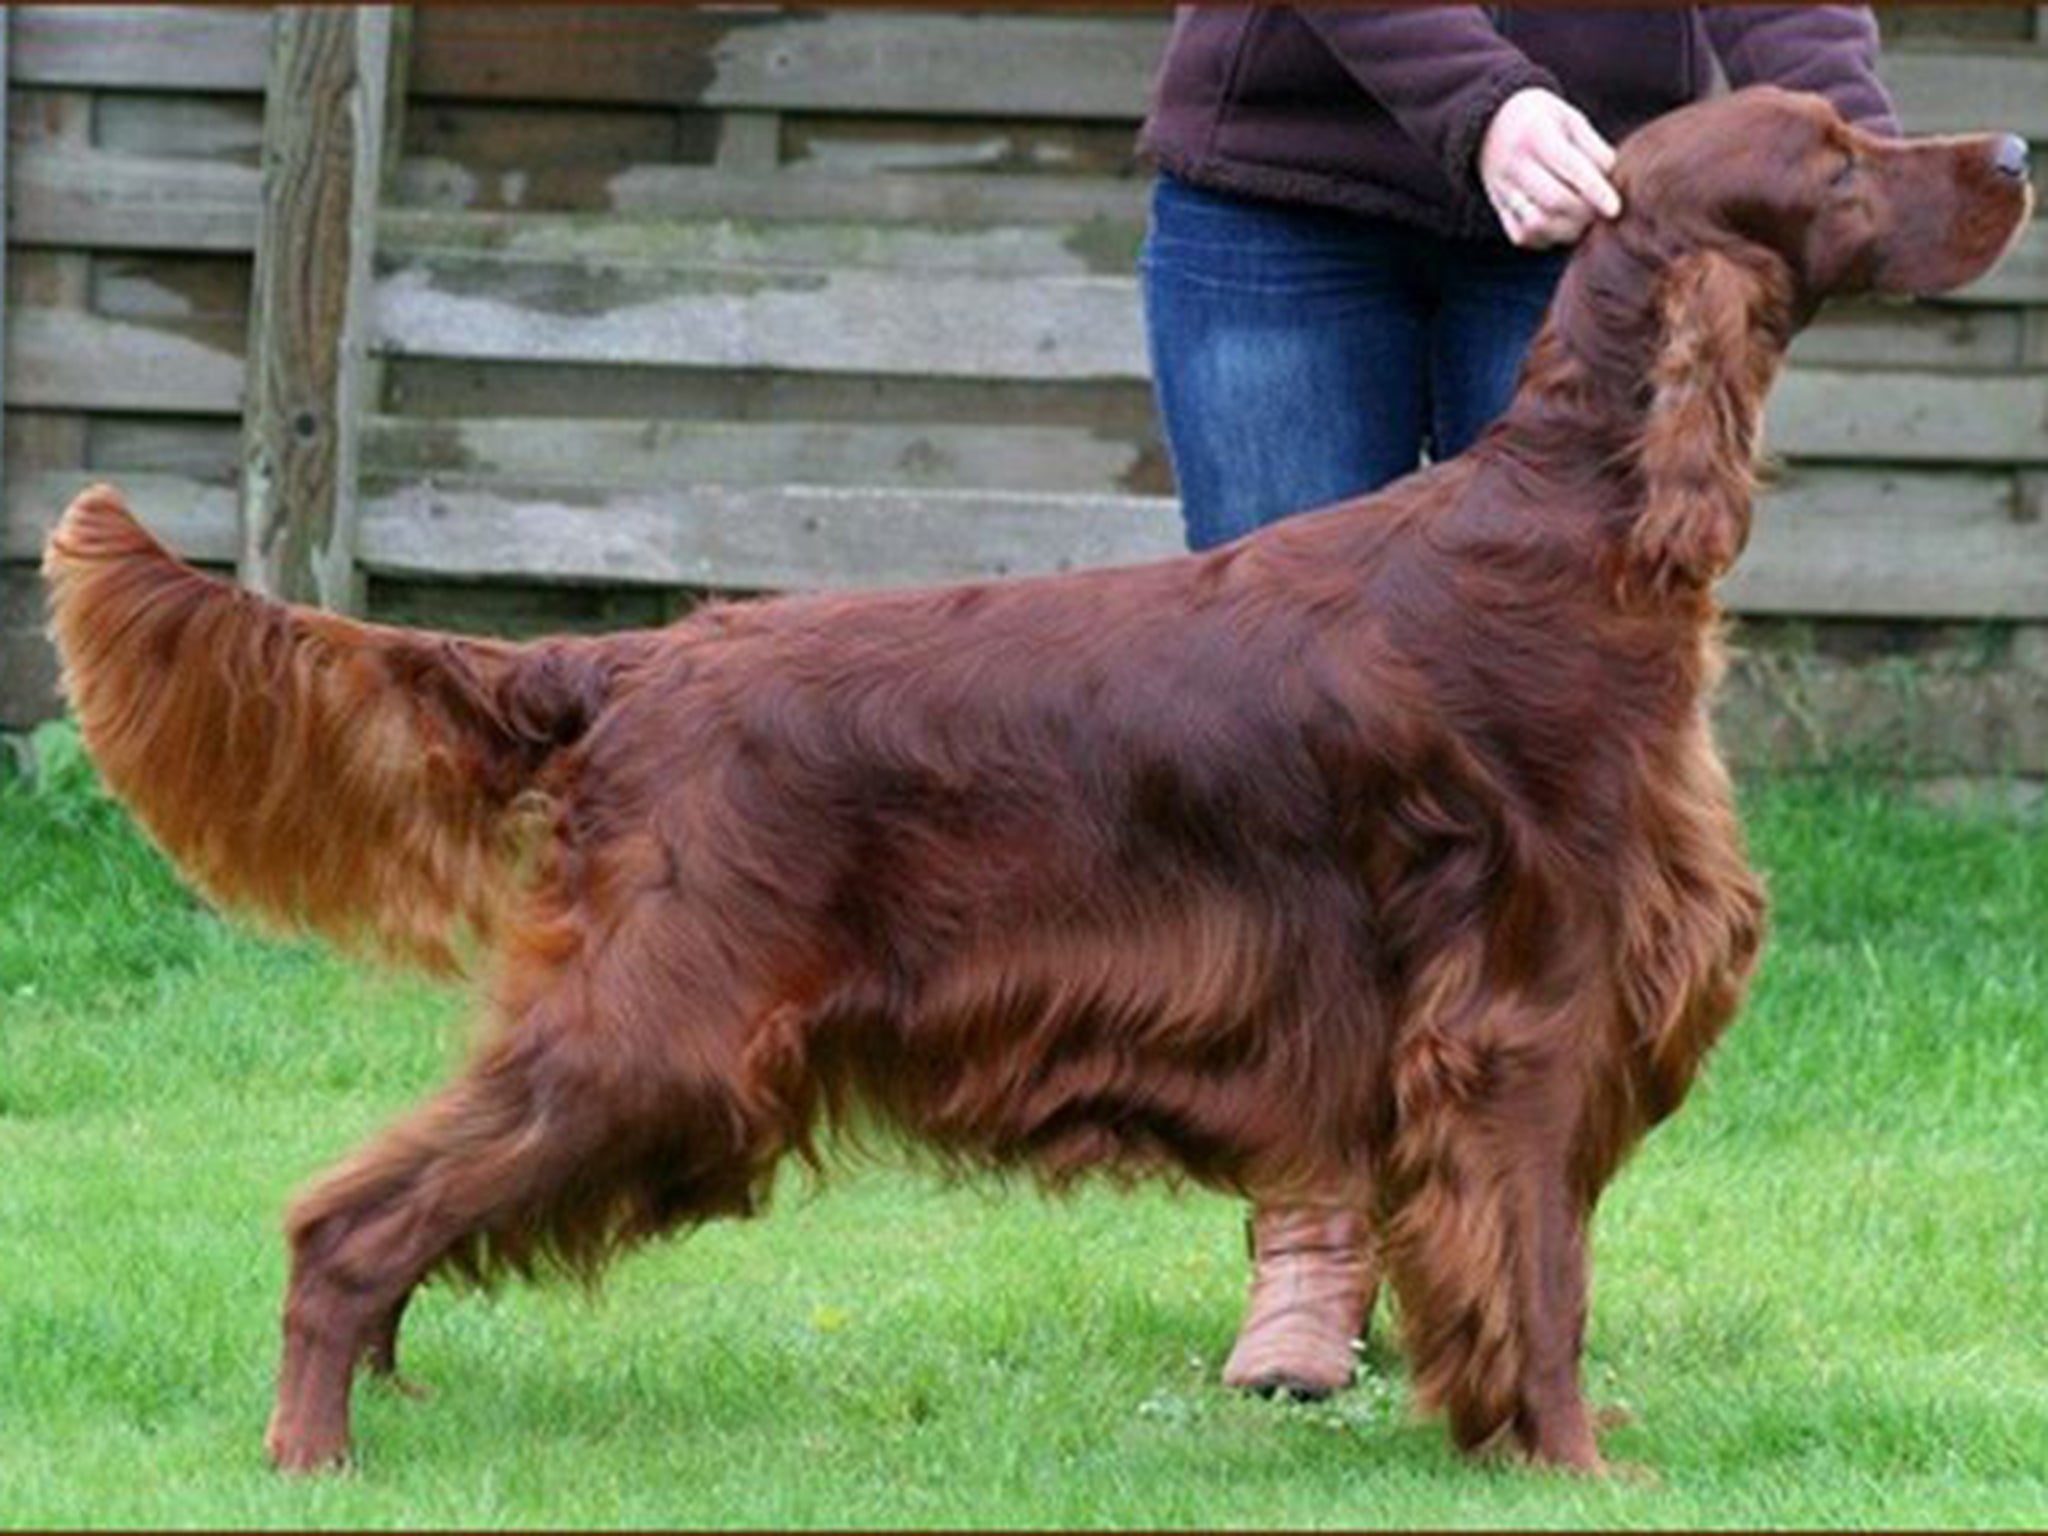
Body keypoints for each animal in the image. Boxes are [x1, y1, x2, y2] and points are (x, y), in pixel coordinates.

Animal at [39, 87, 2023, 1482]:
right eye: (1838, 156)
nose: (2014, 144)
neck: (1571, 532)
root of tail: (632, 666)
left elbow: (1545, 1271)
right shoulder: (1521, 1019)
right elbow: (1540, 1275)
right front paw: (1574, 1467)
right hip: (660, 1034)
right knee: (342, 1219)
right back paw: (313, 1452)